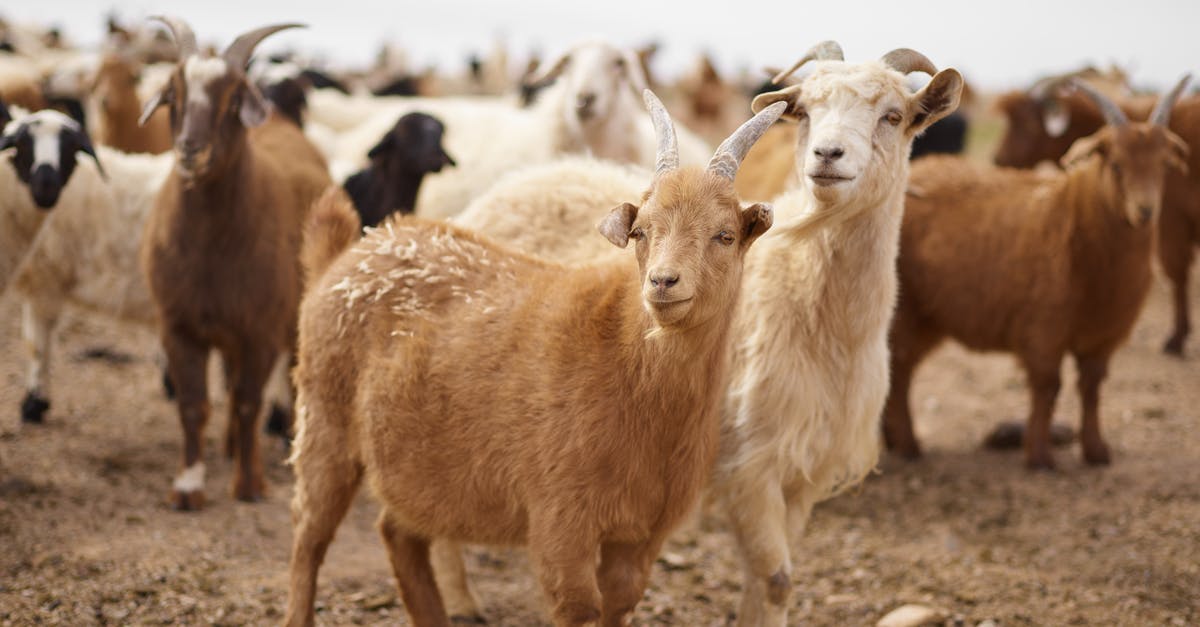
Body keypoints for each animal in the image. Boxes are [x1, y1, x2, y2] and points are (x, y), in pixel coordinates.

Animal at [139, 17, 330, 510]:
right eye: (173, 94)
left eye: (232, 101)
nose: (190, 149)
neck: (212, 250)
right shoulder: (178, 325)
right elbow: (193, 404)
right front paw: (188, 487)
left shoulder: (259, 330)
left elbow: (248, 402)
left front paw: (249, 484)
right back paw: (226, 447)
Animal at [283, 92, 783, 627]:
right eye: (641, 232)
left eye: (724, 235)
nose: (664, 282)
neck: (622, 354)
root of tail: (344, 257)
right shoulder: (560, 518)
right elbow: (578, 606)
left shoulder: (643, 533)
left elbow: (619, 602)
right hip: (323, 423)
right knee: (309, 536)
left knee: (398, 532)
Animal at [883, 77, 1190, 470]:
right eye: (1115, 164)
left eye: (1164, 164)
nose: (1145, 211)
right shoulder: (1044, 328)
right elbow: (1047, 387)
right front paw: (1040, 455)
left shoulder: (1104, 335)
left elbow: (1091, 388)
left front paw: (1096, 451)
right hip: (906, 312)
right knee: (900, 369)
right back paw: (908, 446)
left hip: (929, 317)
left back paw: (893, 440)